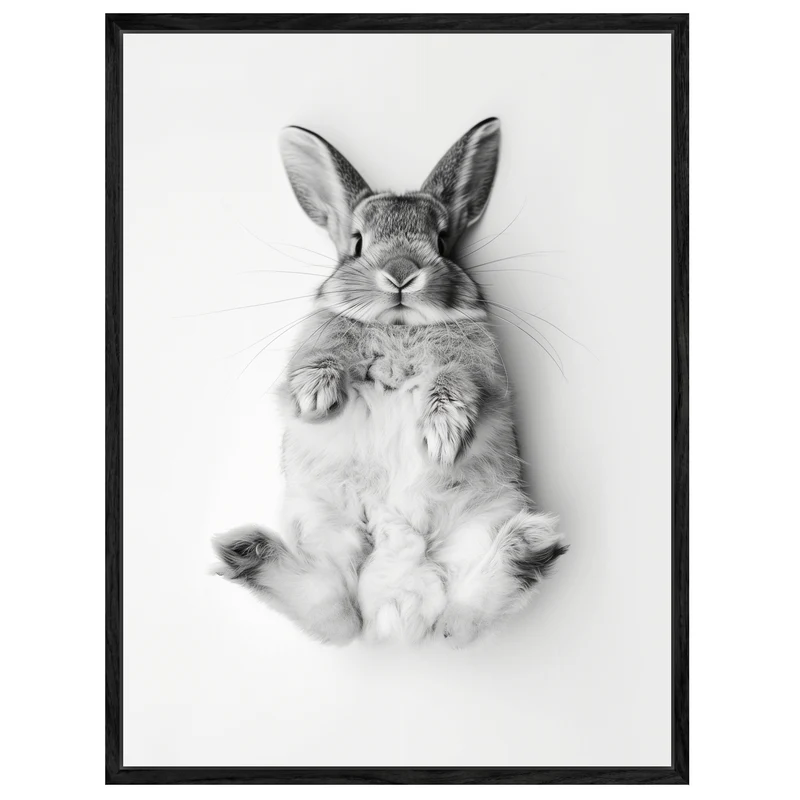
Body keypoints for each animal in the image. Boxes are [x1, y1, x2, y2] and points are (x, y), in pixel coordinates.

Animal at [212, 118, 567, 647]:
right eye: (357, 242)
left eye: (442, 241)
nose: (401, 273)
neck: (399, 327)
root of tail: (396, 605)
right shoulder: (313, 344)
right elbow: (317, 362)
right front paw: (315, 397)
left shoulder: (479, 368)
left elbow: (457, 383)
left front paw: (441, 436)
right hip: (323, 523)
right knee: (334, 612)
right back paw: (244, 549)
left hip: (479, 520)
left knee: (460, 616)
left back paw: (529, 544)